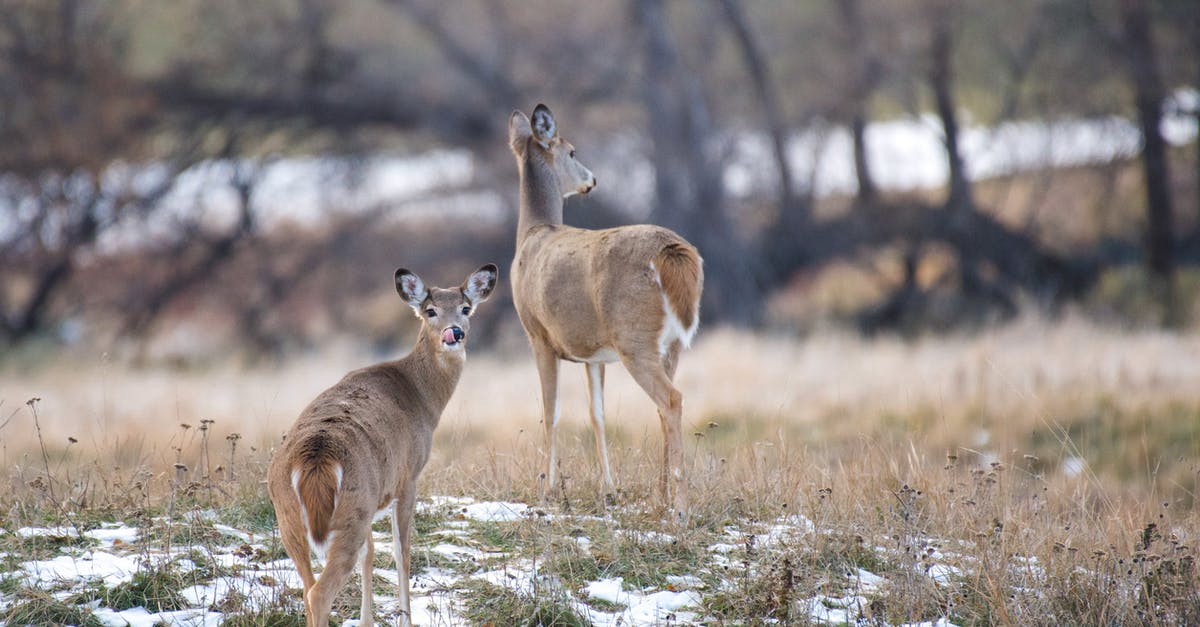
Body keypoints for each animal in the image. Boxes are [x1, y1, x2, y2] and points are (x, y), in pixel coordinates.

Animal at [267, 261, 496, 624]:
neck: (421, 396)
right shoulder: (409, 476)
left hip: (292, 514)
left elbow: (371, 553)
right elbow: (403, 551)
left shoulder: (375, 498)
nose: (454, 333)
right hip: (350, 510)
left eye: (465, 308)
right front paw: (406, 618)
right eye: (430, 310)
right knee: (319, 592)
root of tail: (315, 458)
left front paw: (367, 619)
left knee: (307, 587)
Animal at [506, 105, 700, 516]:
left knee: (671, 399)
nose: (592, 179)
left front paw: (546, 489)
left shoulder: (538, 335)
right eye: (573, 152)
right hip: (671, 344)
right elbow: (597, 413)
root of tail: (673, 252)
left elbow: (551, 411)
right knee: (663, 406)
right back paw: (661, 495)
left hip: (634, 338)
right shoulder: (592, 353)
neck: (532, 234)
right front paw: (607, 488)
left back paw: (679, 507)